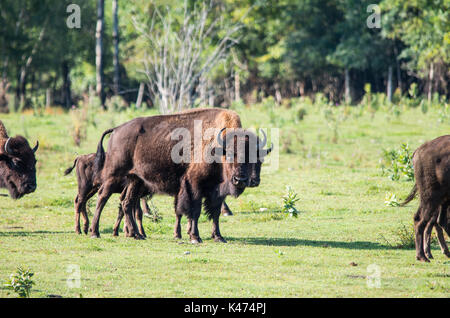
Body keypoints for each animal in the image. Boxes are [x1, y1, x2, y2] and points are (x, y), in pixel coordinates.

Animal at [88, 108, 270, 242]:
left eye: (257, 158)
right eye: (231, 154)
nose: (241, 180)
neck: (218, 147)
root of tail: (116, 129)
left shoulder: (217, 192)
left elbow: (215, 213)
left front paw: (218, 237)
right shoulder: (194, 185)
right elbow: (194, 211)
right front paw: (195, 237)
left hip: (135, 180)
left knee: (127, 202)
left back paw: (136, 235)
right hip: (114, 175)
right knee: (103, 197)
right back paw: (95, 232)